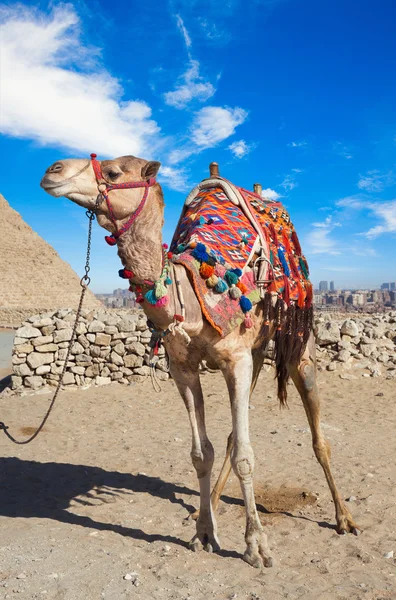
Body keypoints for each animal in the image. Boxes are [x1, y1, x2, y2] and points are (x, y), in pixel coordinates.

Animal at [41, 154, 362, 568]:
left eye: (113, 172)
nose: (53, 170)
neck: (191, 292)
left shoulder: (236, 360)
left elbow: (245, 455)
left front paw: (257, 546)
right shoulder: (183, 368)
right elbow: (201, 453)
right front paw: (204, 533)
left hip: (297, 336)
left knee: (316, 430)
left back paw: (344, 518)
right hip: (254, 353)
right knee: (230, 435)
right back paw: (206, 504)